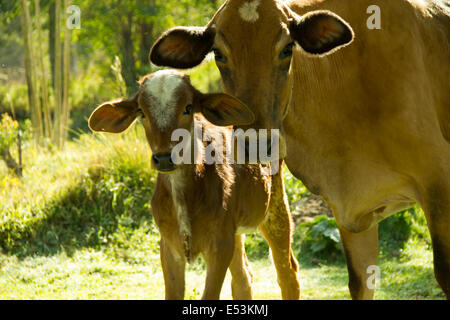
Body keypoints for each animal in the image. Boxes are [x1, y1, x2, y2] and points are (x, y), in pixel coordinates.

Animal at [88, 69, 300, 300]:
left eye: (188, 107)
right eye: (141, 112)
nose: (164, 158)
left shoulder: (219, 246)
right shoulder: (169, 246)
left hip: (275, 209)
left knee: (287, 272)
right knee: (243, 277)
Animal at [149, 0, 448, 300]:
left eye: (287, 48)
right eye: (219, 54)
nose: (256, 144)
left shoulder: (437, 186)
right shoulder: (352, 212)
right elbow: (360, 283)